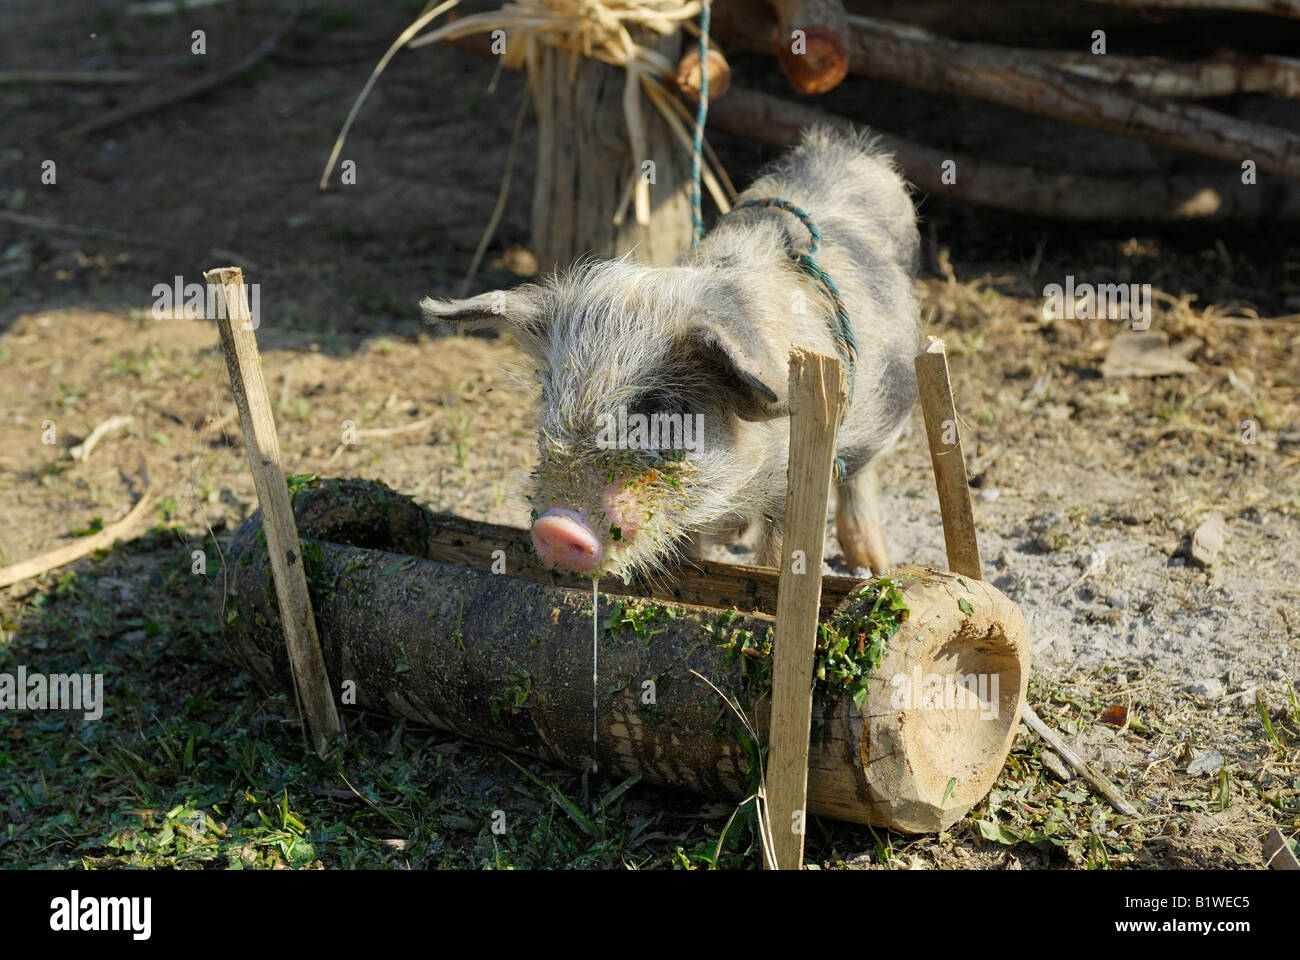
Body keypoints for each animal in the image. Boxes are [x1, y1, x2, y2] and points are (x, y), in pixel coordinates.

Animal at [421, 125, 920, 574]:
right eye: (548, 398)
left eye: (662, 411)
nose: (557, 527)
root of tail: (848, 149)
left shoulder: (793, 479)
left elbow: (781, 556)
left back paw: (874, 566)